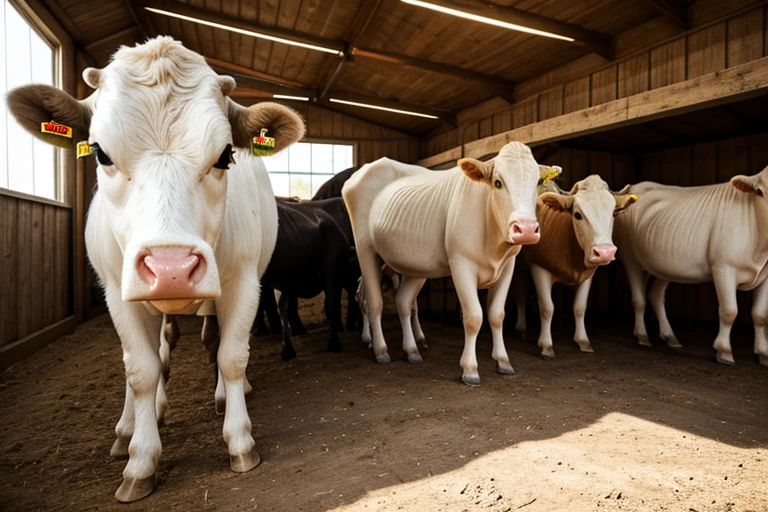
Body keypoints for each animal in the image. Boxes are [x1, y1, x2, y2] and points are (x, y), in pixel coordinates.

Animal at [8, 38, 306, 502]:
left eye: (225, 156)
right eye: (100, 152)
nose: (171, 268)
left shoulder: (242, 281)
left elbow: (230, 355)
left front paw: (240, 439)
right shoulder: (118, 291)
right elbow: (142, 370)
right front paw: (140, 458)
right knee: (156, 354)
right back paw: (129, 427)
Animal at [342, 142, 540, 386]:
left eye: (538, 182)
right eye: (498, 182)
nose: (526, 229)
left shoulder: (508, 266)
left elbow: (496, 315)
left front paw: (503, 361)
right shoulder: (461, 263)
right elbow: (474, 317)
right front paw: (470, 369)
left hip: (415, 264)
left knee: (403, 302)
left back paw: (412, 351)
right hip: (365, 249)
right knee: (374, 301)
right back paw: (380, 349)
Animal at [512, 175, 640, 356]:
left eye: (613, 213)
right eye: (578, 215)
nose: (605, 252)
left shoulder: (588, 272)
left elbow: (579, 307)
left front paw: (583, 341)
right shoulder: (539, 267)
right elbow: (547, 307)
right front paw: (546, 345)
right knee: (521, 295)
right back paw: (522, 327)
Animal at [612, 170, 768, 366]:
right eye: (760, 192)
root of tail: (635, 186)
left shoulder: (766, 274)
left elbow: (760, 315)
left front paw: (762, 353)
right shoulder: (723, 268)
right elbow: (729, 311)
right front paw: (724, 351)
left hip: (663, 263)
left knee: (655, 295)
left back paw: (670, 336)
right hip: (630, 258)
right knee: (638, 299)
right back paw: (642, 336)